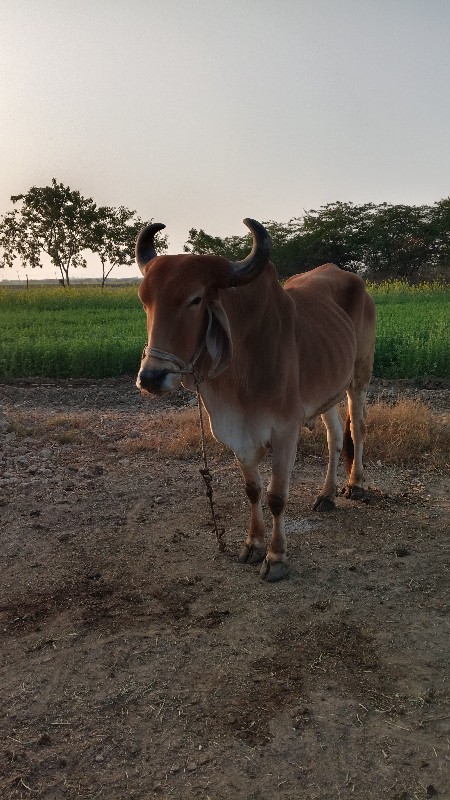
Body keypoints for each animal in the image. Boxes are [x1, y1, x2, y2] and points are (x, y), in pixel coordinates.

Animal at [136, 219, 376, 580]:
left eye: (195, 299)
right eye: (145, 300)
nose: (151, 377)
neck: (241, 370)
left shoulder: (285, 430)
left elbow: (276, 497)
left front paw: (276, 558)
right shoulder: (238, 433)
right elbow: (253, 490)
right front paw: (253, 545)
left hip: (358, 377)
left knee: (357, 429)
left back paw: (356, 485)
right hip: (327, 391)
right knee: (334, 436)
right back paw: (327, 495)